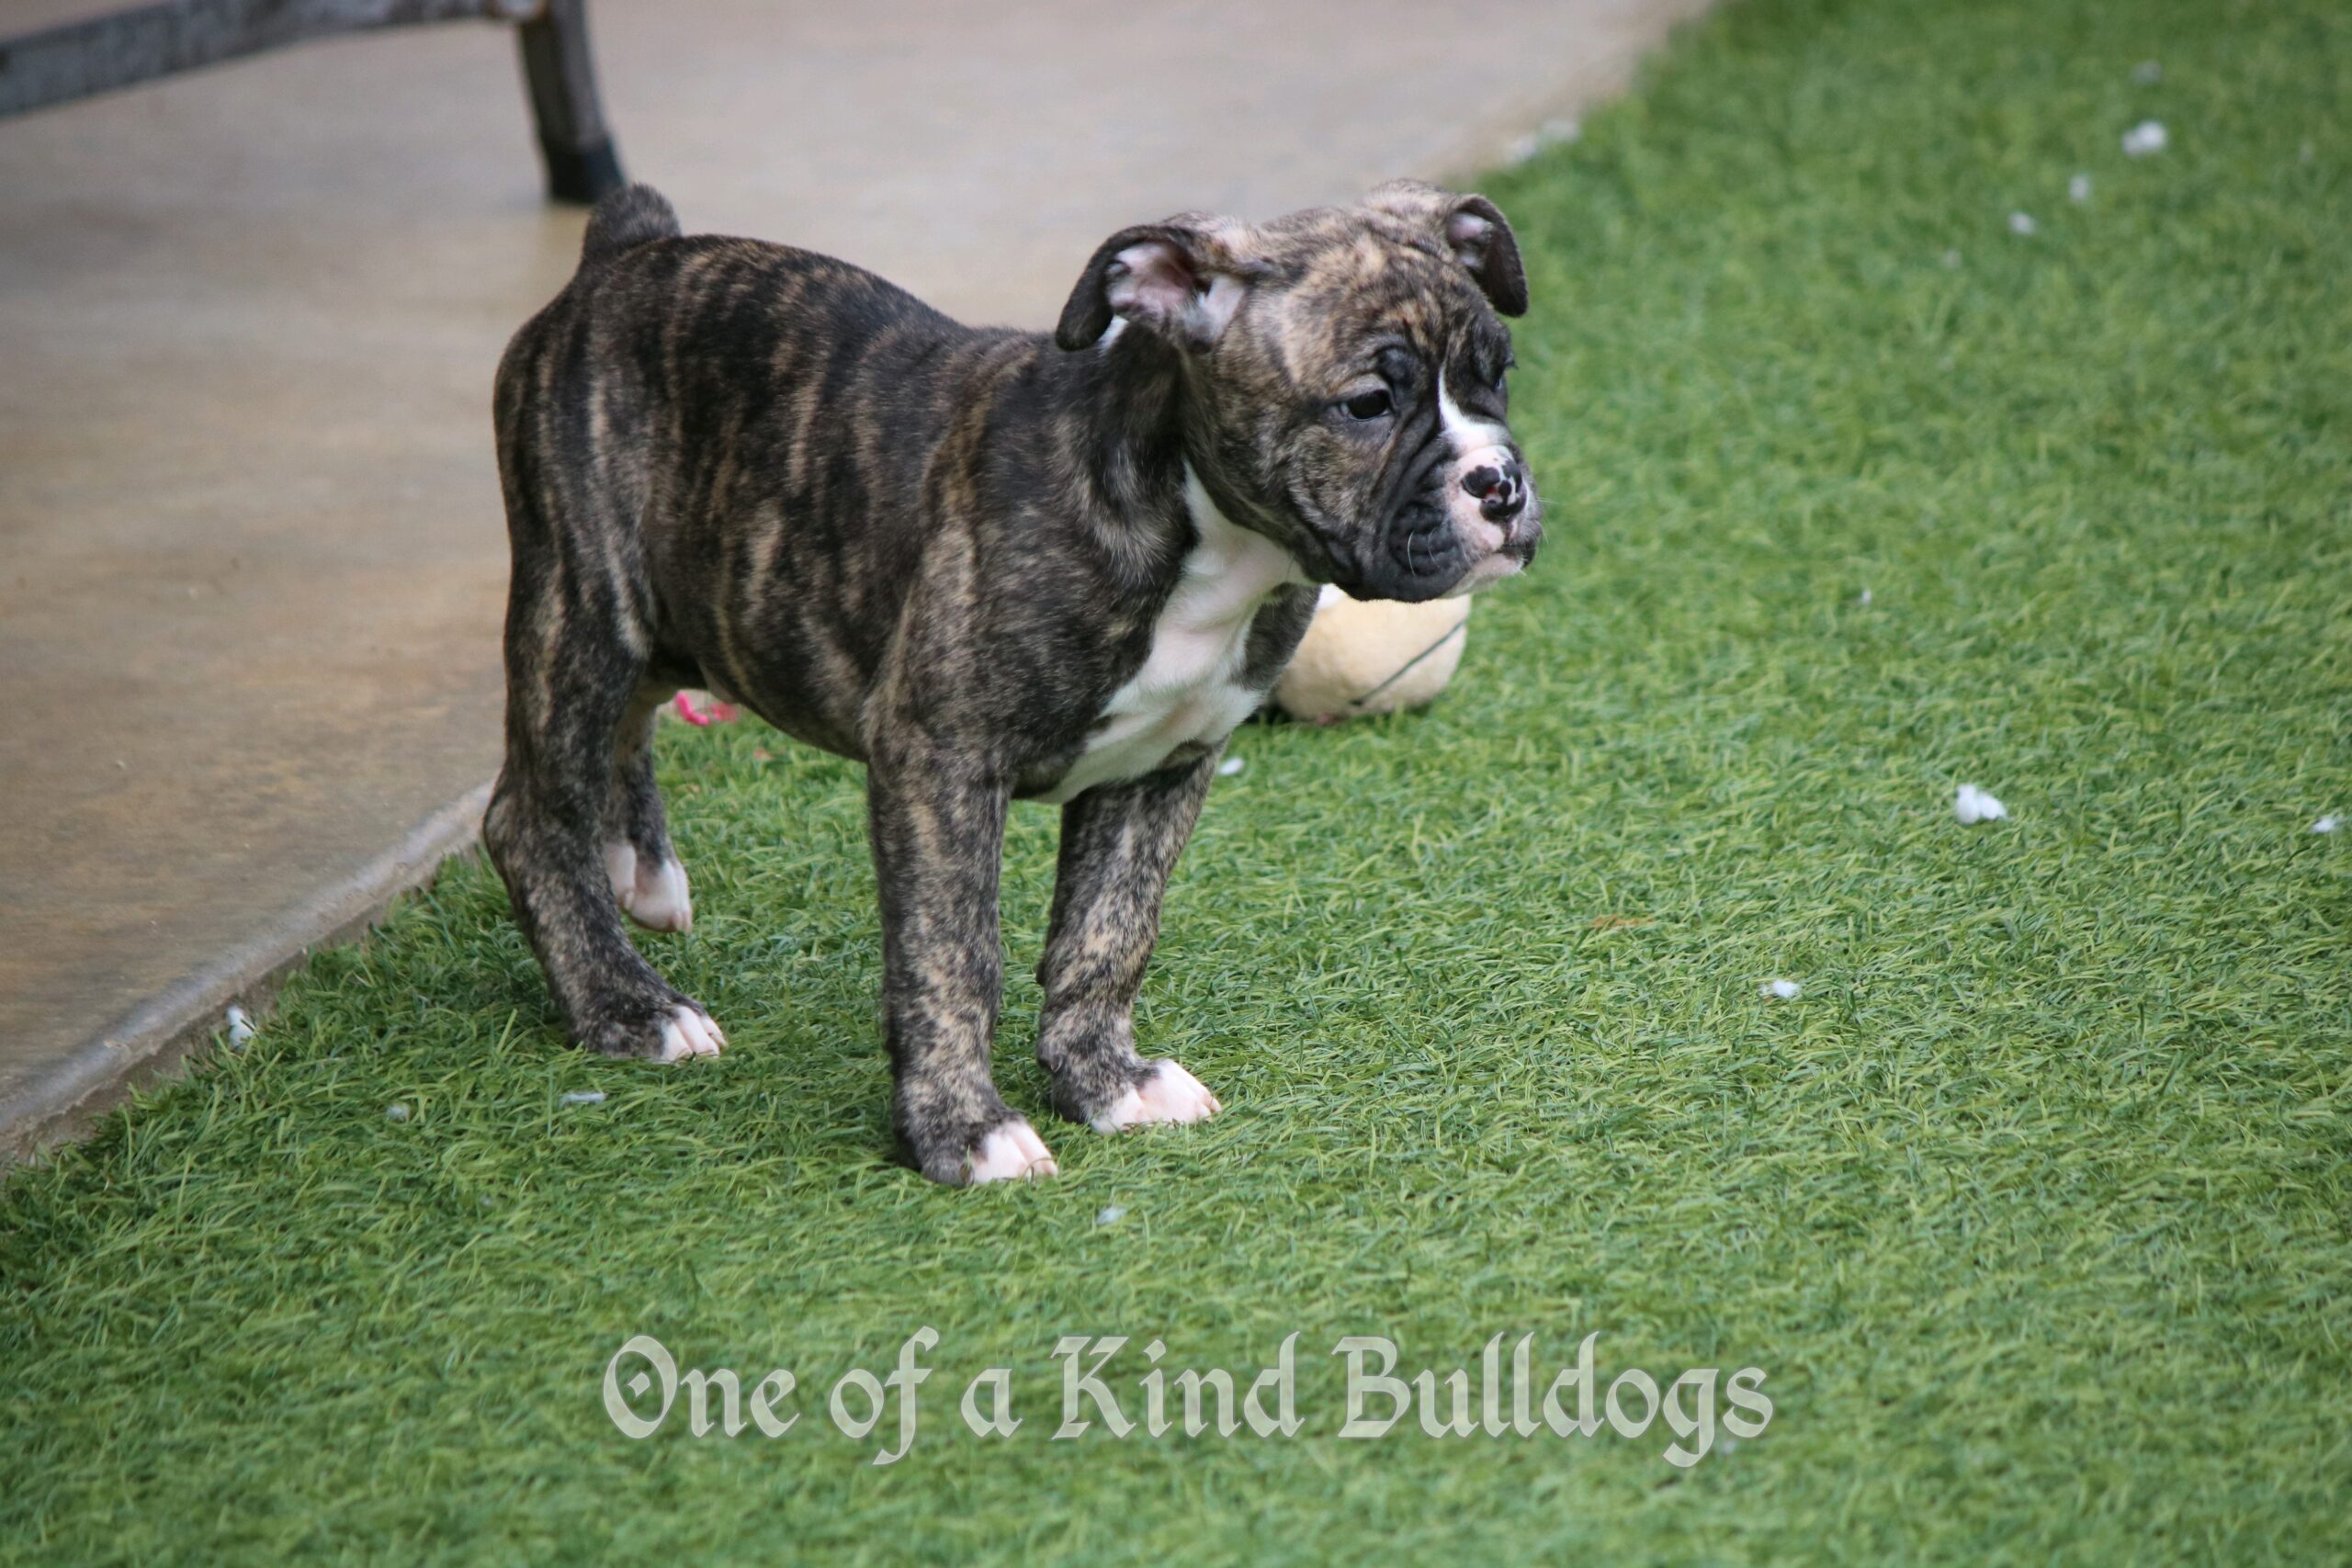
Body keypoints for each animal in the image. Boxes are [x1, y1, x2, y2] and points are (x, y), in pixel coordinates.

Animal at [485, 179, 1540, 1185]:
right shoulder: (938, 762)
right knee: (529, 817)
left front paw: (1104, 1081)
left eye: (1498, 373)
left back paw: (640, 870)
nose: (1500, 484)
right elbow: (953, 957)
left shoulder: (1162, 767)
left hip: (664, 612)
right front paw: (961, 1131)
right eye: (1367, 404)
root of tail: (623, 255)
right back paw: (627, 1006)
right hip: (583, 601)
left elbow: (1109, 934)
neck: (1199, 534)